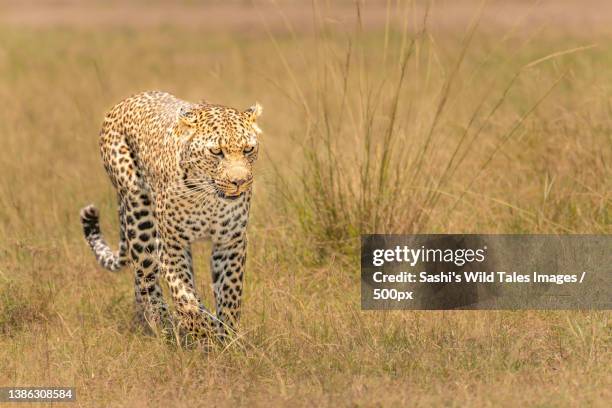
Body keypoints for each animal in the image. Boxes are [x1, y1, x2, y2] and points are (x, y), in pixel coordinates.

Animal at [78, 91, 260, 342]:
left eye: (248, 149)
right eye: (216, 151)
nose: (239, 182)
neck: (207, 197)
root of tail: (128, 99)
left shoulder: (231, 241)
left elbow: (230, 294)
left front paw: (227, 338)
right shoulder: (170, 245)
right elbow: (186, 300)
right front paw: (207, 333)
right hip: (139, 215)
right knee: (146, 281)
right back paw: (165, 326)